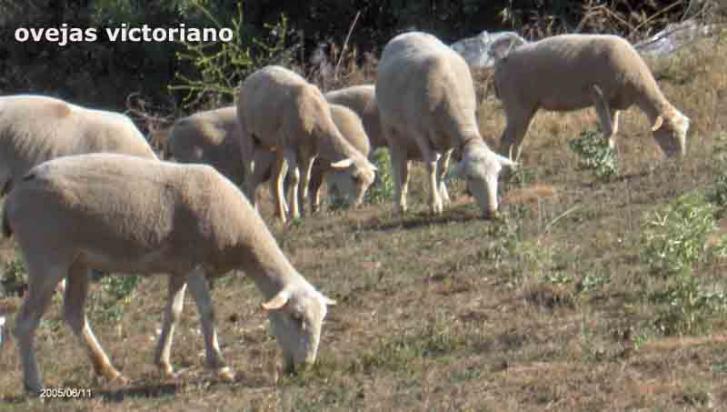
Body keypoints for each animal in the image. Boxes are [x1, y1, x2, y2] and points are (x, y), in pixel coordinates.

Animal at [3, 153, 335, 393]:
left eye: (321, 320)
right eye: (296, 318)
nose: (306, 366)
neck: (241, 238)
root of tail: (15, 195)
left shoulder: (178, 267)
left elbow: (173, 312)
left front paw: (163, 364)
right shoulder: (193, 263)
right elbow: (207, 312)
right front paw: (220, 365)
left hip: (77, 261)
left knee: (74, 314)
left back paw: (109, 371)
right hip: (46, 259)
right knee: (25, 323)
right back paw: (34, 384)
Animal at [237, 65, 377, 222]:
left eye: (369, 183)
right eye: (354, 178)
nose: (356, 206)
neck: (315, 118)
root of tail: (256, 74)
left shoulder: (310, 152)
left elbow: (305, 180)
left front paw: (303, 212)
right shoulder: (290, 145)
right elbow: (295, 178)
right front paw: (295, 214)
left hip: (277, 146)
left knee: (276, 179)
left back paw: (281, 216)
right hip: (247, 133)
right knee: (250, 175)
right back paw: (255, 209)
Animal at [376, 31, 516, 218]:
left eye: (497, 174)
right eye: (471, 177)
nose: (492, 211)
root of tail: (408, 33)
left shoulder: (450, 140)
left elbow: (442, 169)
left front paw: (441, 199)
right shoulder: (419, 133)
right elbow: (430, 166)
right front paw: (434, 204)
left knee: (410, 168)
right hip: (393, 133)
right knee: (398, 166)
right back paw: (400, 203)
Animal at [493, 33, 690, 160]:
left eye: (684, 132)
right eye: (670, 132)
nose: (680, 159)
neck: (637, 84)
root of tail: (501, 64)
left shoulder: (614, 102)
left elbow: (614, 129)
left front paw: (610, 151)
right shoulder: (598, 95)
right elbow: (608, 130)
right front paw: (609, 157)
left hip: (528, 108)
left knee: (516, 139)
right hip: (516, 106)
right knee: (507, 139)